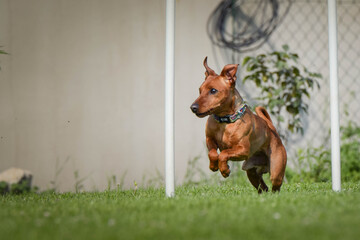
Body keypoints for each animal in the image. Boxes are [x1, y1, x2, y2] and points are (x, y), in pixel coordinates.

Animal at [191, 57, 286, 192]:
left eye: (213, 90)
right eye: (200, 90)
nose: (192, 107)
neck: (224, 122)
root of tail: (272, 129)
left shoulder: (243, 150)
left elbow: (224, 154)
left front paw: (225, 170)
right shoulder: (209, 139)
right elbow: (213, 153)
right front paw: (214, 166)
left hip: (276, 172)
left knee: (275, 187)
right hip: (252, 173)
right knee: (263, 188)